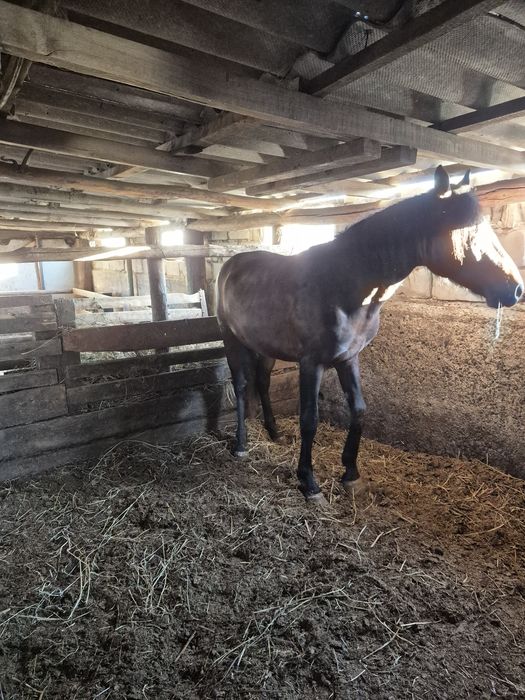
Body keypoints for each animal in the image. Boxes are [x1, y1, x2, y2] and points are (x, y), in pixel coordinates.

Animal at [217, 166, 523, 503]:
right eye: (467, 233)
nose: (515, 289)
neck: (344, 285)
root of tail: (230, 265)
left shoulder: (349, 358)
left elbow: (359, 410)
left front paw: (351, 474)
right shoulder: (312, 363)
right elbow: (309, 419)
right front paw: (309, 482)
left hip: (265, 346)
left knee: (262, 381)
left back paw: (273, 433)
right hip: (232, 341)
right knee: (242, 386)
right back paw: (241, 445)